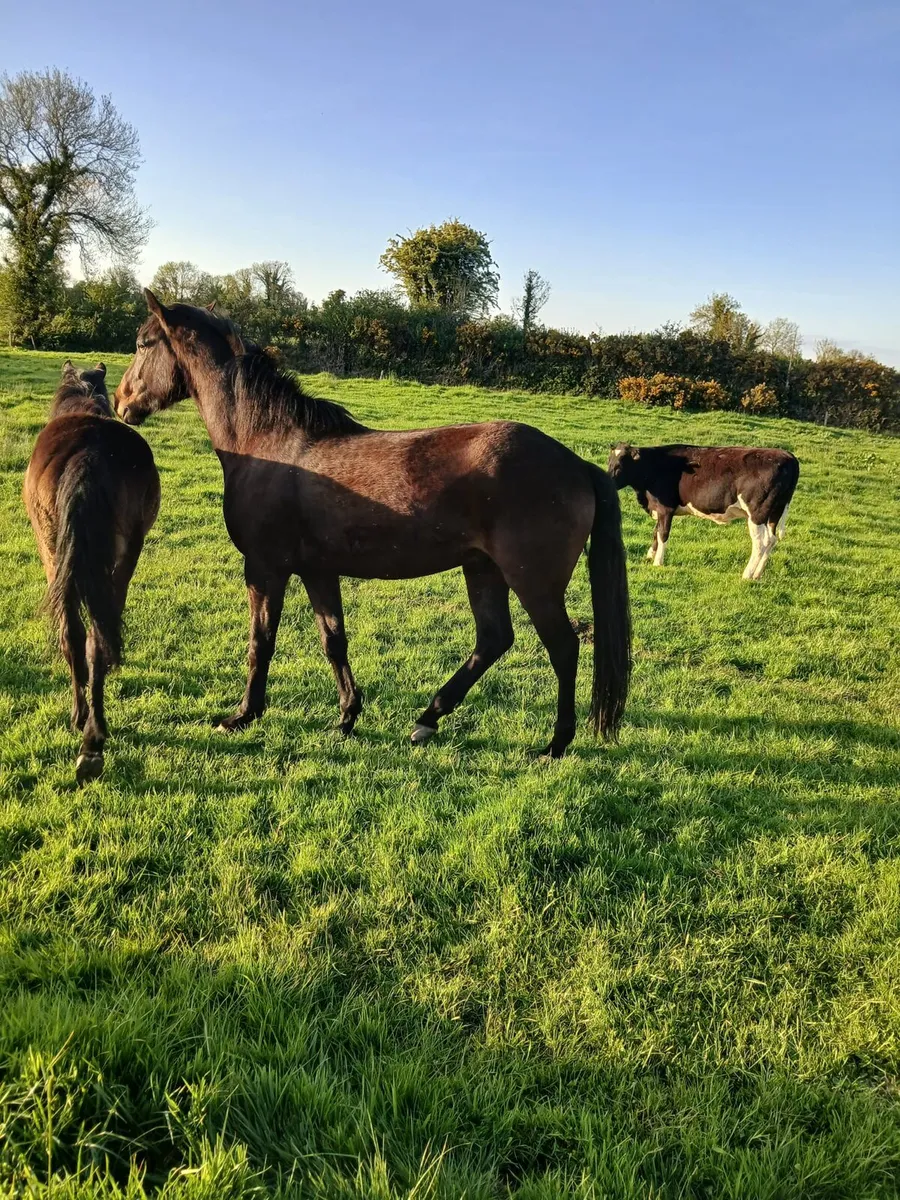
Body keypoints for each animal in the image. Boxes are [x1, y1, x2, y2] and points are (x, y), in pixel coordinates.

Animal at [23, 361, 161, 783]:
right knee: (85, 634)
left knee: (81, 634)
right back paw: (91, 738)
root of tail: (89, 454)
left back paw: (86, 727)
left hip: (60, 552)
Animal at [115, 291, 630, 757]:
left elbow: (261, 642)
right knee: (494, 640)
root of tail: (577, 464)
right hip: (483, 569)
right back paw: (427, 720)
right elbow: (333, 640)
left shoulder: (265, 568)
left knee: (563, 649)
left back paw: (556, 743)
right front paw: (347, 716)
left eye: (142, 343)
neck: (268, 443)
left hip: (532, 581)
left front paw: (243, 715)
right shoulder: (318, 571)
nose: (121, 402)